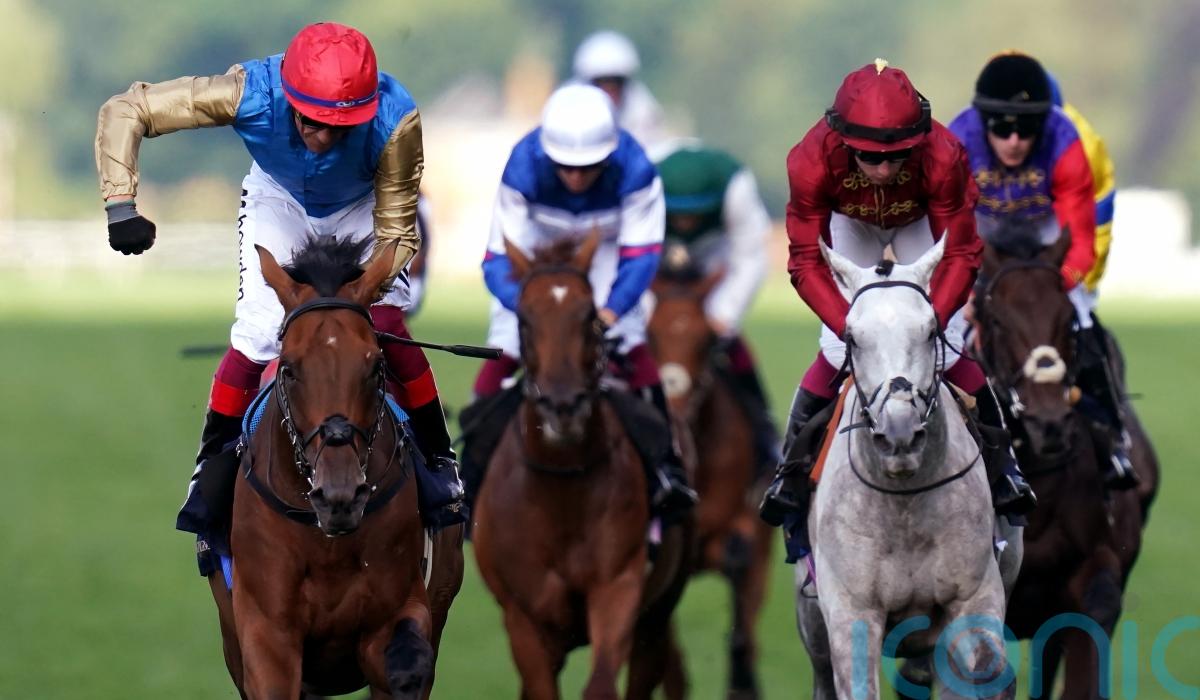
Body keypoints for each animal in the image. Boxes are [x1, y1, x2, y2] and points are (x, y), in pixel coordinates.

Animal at [204, 236, 462, 699]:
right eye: (289, 369)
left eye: (376, 366)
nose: (339, 496)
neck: (327, 545)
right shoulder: (266, 632)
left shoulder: (400, 609)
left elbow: (407, 662)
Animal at [471, 233, 693, 700]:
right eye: (524, 320)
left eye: (590, 317)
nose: (563, 407)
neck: (562, 485)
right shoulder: (524, 616)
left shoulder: (618, 587)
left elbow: (602, 685)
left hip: (659, 610)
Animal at [648, 265, 774, 699]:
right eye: (650, 334)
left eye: (706, 339)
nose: (674, 407)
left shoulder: (746, 527)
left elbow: (738, 558)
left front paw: (742, 679)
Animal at [794, 237, 1023, 699]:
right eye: (853, 337)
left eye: (931, 330)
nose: (899, 433)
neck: (904, 507)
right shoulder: (851, 612)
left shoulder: (973, 596)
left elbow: (987, 668)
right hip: (811, 619)